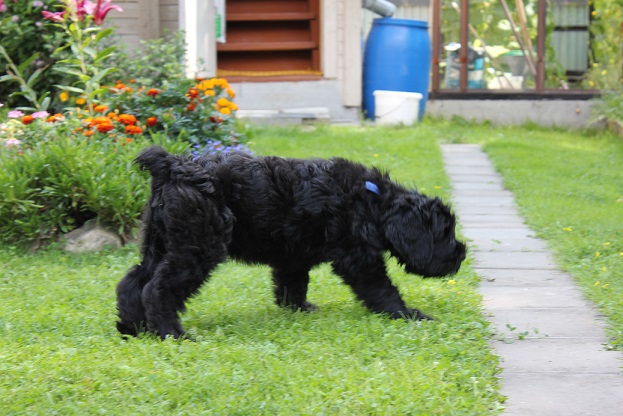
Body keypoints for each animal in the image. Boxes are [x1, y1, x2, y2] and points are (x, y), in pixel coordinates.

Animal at [116, 146, 466, 339]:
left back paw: (132, 328)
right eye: (444, 233)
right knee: (158, 288)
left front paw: (298, 309)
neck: (373, 200)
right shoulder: (358, 258)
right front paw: (406, 314)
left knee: (133, 281)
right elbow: (382, 288)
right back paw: (170, 332)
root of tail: (173, 167)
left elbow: (293, 284)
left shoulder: (293, 256)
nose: (462, 255)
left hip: (160, 241)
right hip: (196, 247)